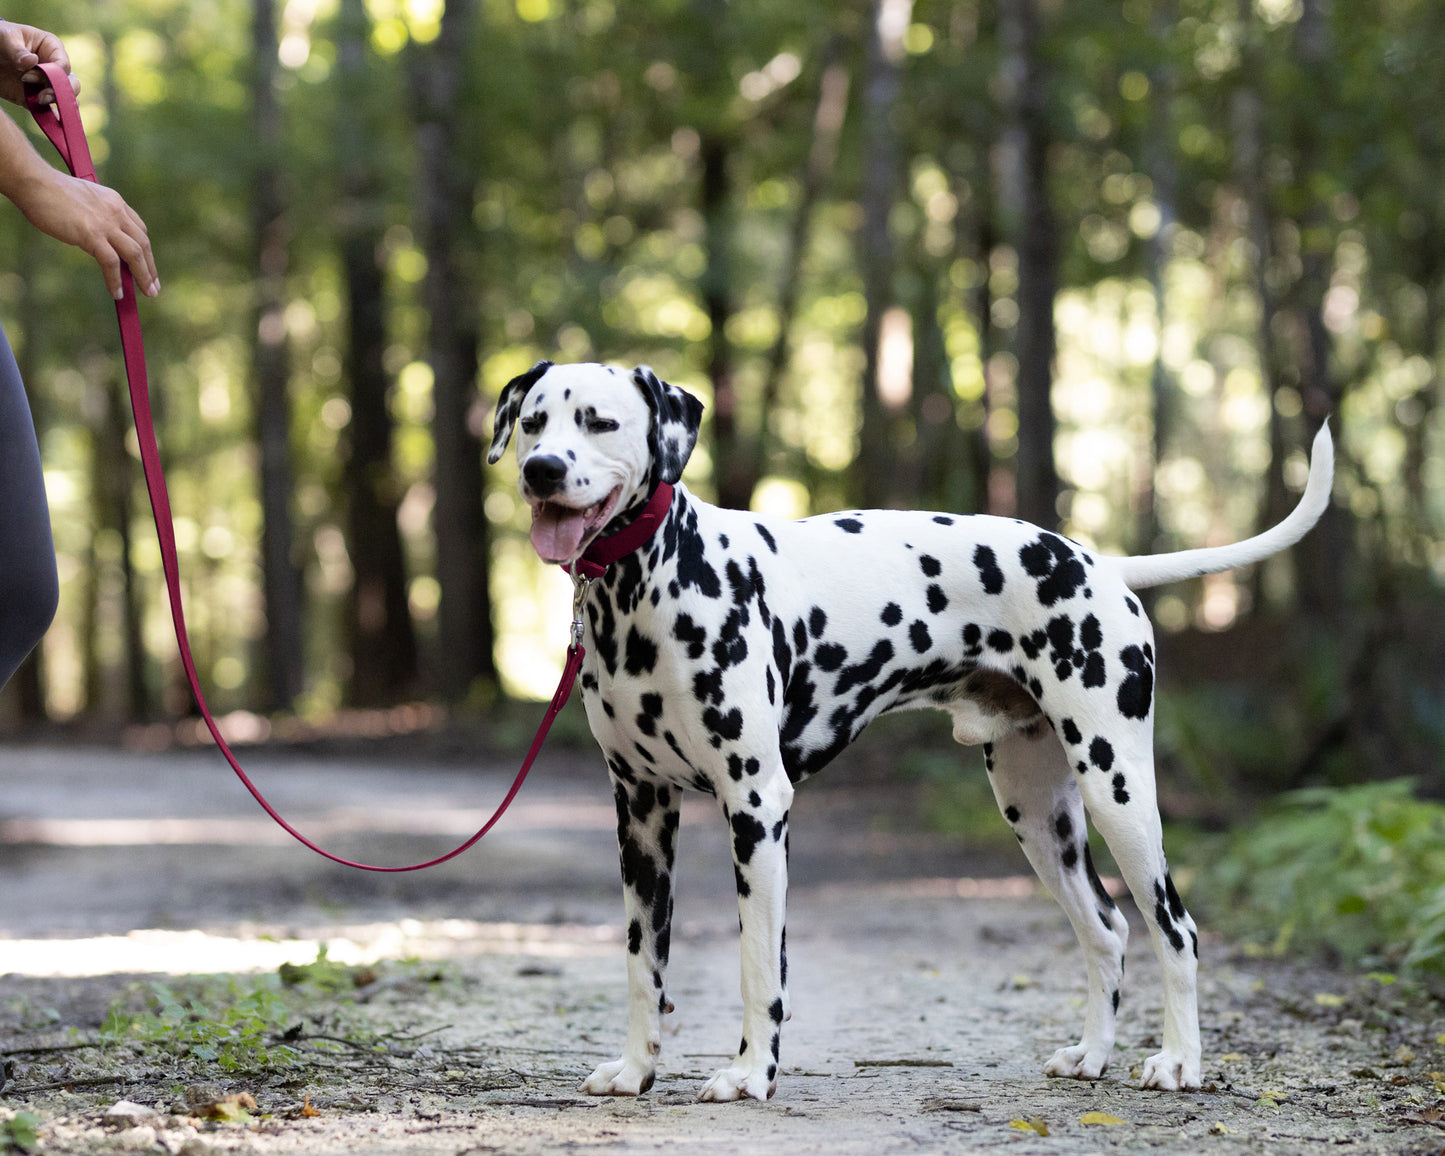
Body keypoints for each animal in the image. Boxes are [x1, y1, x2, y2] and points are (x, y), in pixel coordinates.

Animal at [485, 361, 1329, 1103]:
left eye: (598, 421)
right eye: (533, 422)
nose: (541, 470)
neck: (649, 588)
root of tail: (1099, 563)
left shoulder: (756, 807)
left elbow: (758, 964)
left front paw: (750, 1075)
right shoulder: (641, 814)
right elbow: (642, 963)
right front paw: (634, 1071)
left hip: (1117, 788)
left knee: (1174, 928)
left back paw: (1179, 1063)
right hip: (1038, 815)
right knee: (1107, 929)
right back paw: (1090, 1056)